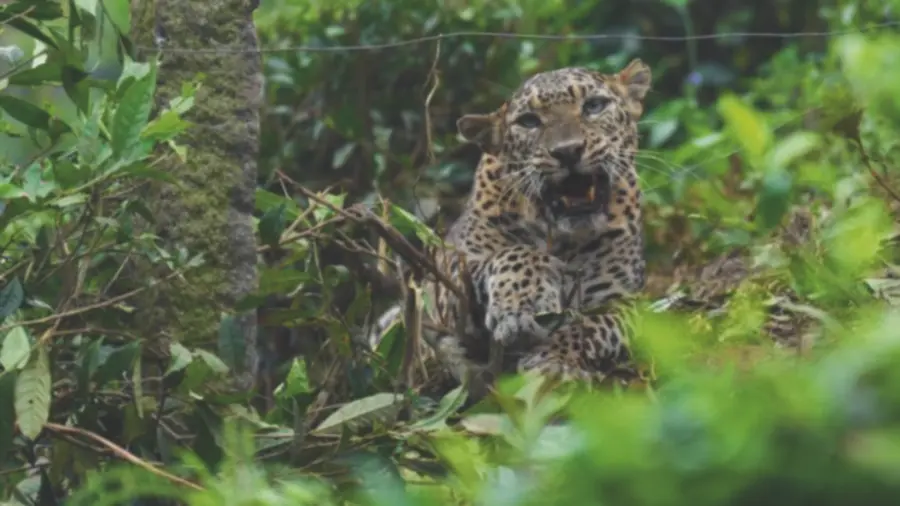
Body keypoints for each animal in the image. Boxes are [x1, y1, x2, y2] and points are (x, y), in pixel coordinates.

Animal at [369, 59, 653, 393]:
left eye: (594, 106)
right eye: (529, 122)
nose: (568, 151)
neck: (562, 239)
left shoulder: (622, 301)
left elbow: (590, 327)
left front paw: (554, 363)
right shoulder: (453, 282)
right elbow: (514, 254)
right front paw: (520, 307)